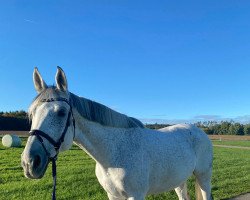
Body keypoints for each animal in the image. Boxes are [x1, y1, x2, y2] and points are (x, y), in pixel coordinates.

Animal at [22, 67, 213, 200]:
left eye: (61, 112)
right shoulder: (113, 195)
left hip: (203, 177)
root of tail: (199, 131)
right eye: (32, 114)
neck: (113, 155)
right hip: (179, 180)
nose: (29, 163)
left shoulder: (136, 195)